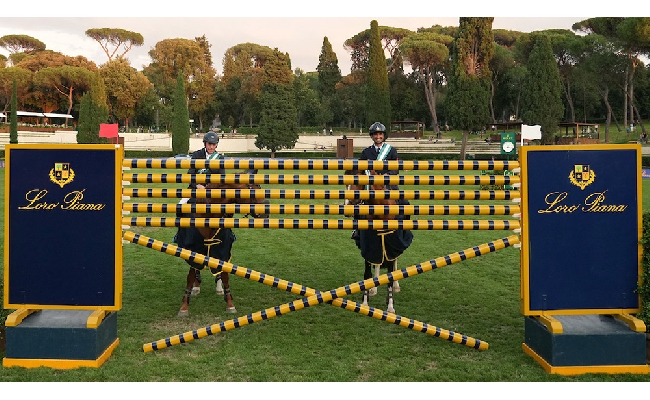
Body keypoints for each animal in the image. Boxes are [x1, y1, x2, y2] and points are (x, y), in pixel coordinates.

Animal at [171, 169, 268, 316]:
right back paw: (196, 287)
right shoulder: (193, 249)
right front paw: (184, 306)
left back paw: (218, 287)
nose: (266, 211)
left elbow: (225, 275)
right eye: (251, 189)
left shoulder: (222, 250)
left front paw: (230, 304)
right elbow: (191, 276)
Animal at [346, 169, 412, 312]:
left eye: (359, 183)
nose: (347, 208)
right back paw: (374, 288)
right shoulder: (369, 246)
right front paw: (365, 302)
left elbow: (390, 276)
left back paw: (396, 286)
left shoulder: (392, 246)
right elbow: (367, 274)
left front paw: (390, 306)